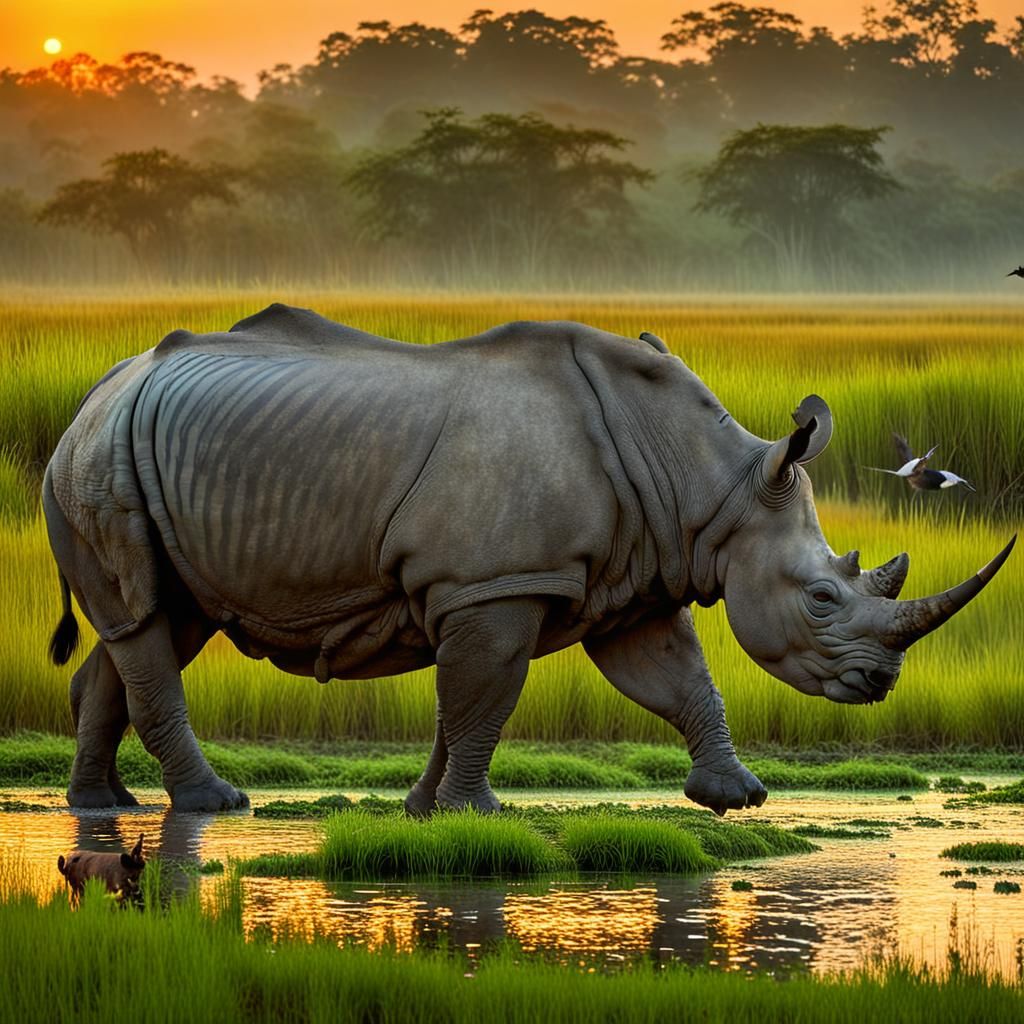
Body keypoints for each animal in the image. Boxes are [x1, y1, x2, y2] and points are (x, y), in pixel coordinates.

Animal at [43, 305, 1014, 814]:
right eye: (821, 598)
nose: (880, 683)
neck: (715, 482)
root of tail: (95, 392)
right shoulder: (493, 584)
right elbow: (487, 696)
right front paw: (476, 813)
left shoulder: (626, 578)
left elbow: (674, 678)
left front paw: (736, 796)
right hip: (99, 457)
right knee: (146, 627)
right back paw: (215, 804)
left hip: (129, 455)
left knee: (155, 623)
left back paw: (101, 806)